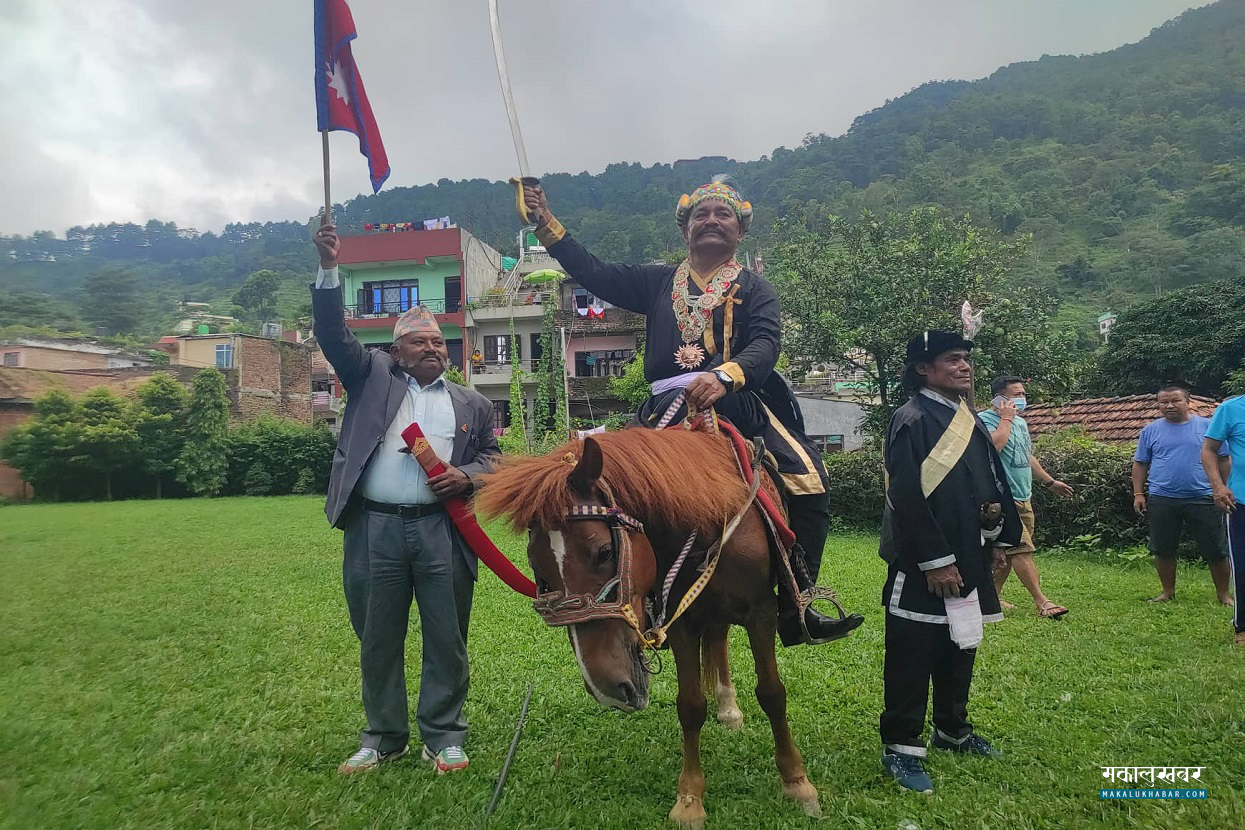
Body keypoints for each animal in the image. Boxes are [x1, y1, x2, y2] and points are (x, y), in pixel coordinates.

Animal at [473, 425, 816, 826]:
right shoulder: (682, 621)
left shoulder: (762, 611)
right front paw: (689, 799)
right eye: (539, 572)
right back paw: (727, 706)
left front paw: (796, 781)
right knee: (717, 639)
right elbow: (690, 705)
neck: (710, 520)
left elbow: (772, 693)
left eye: (605, 552)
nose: (606, 689)